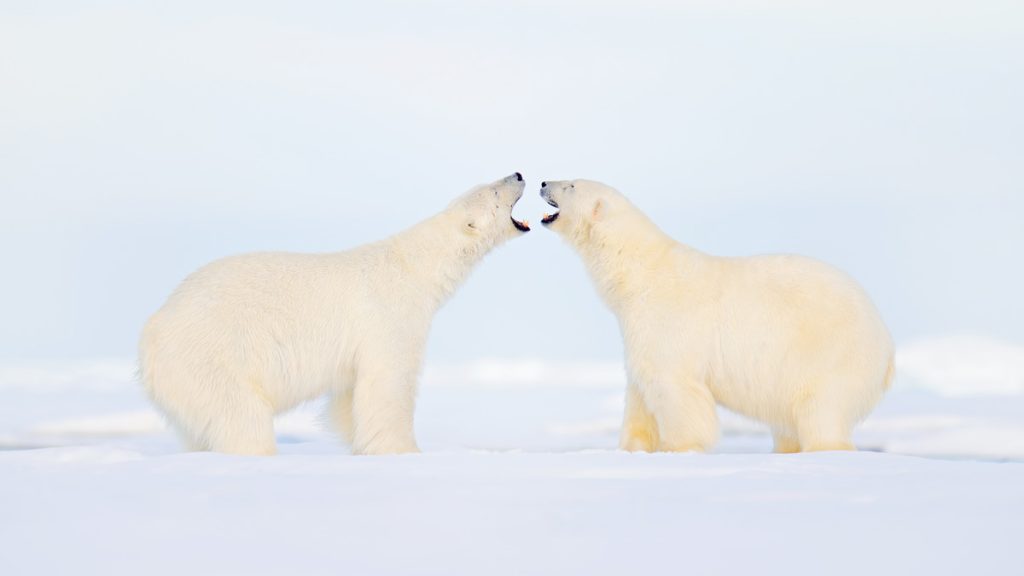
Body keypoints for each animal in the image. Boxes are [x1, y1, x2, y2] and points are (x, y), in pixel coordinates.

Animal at [140, 170, 532, 453]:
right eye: (494, 191)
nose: (517, 173)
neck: (414, 267)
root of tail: (152, 333)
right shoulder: (390, 316)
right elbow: (389, 382)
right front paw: (404, 451)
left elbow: (349, 394)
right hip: (212, 359)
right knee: (241, 417)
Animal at [540, 179, 892, 453]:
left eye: (571, 185)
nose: (543, 182)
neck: (639, 275)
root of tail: (886, 343)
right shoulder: (637, 334)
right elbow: (639, 395)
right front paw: (630, 448)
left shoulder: (667, 325)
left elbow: (675, 388)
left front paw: (679, 447)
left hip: (830, 356)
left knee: (820, 410)